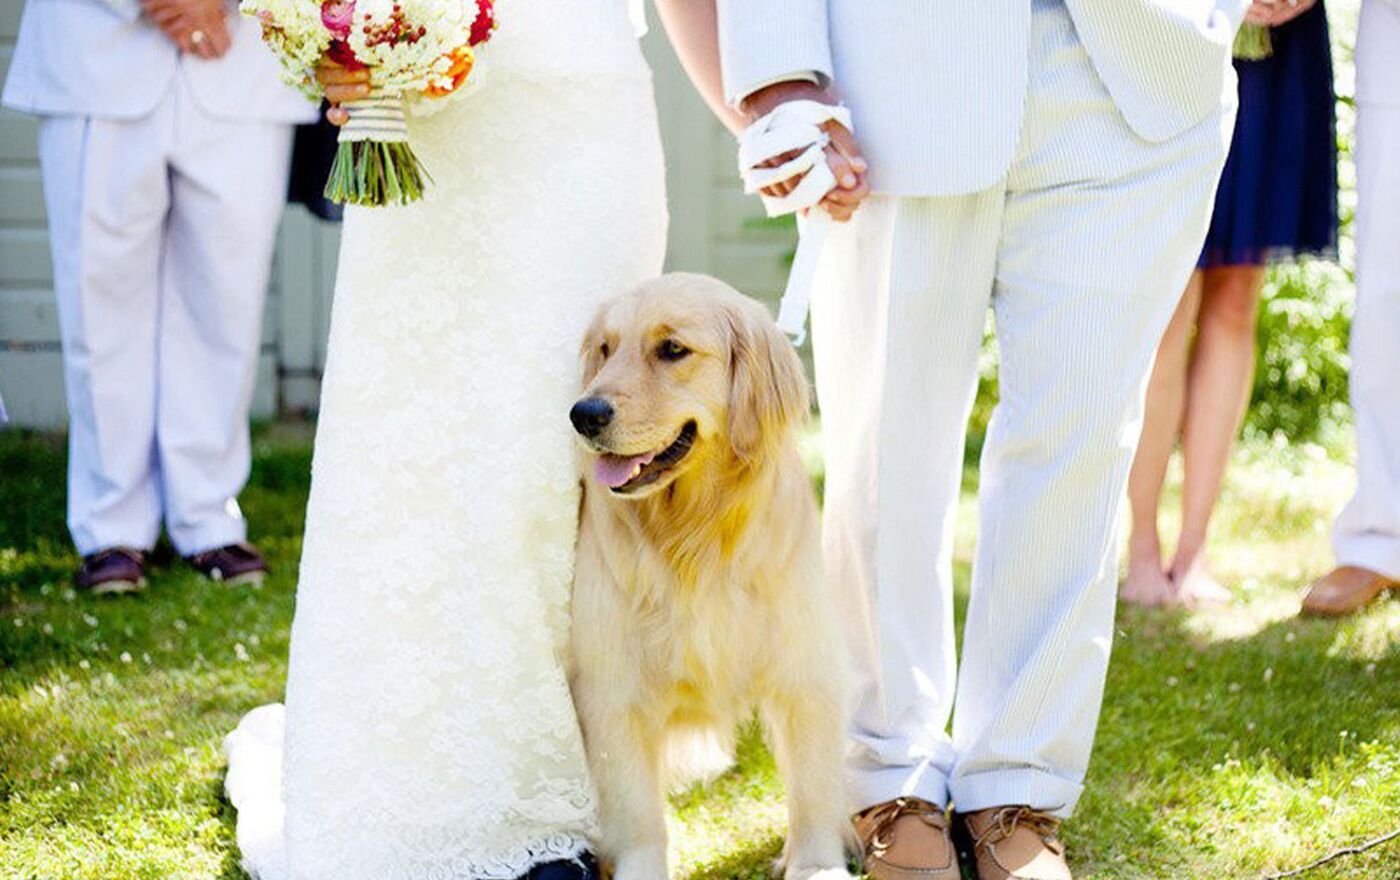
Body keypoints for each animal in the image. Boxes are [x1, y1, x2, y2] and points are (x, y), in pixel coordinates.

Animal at [568, 274, 851, 878]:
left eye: (672, 349)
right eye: (605, 349)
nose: (583, 414)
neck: (695, 535)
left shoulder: (807, 669)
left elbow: (814, 786)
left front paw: (817, 863)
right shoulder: (610, 690)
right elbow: (635, 811)